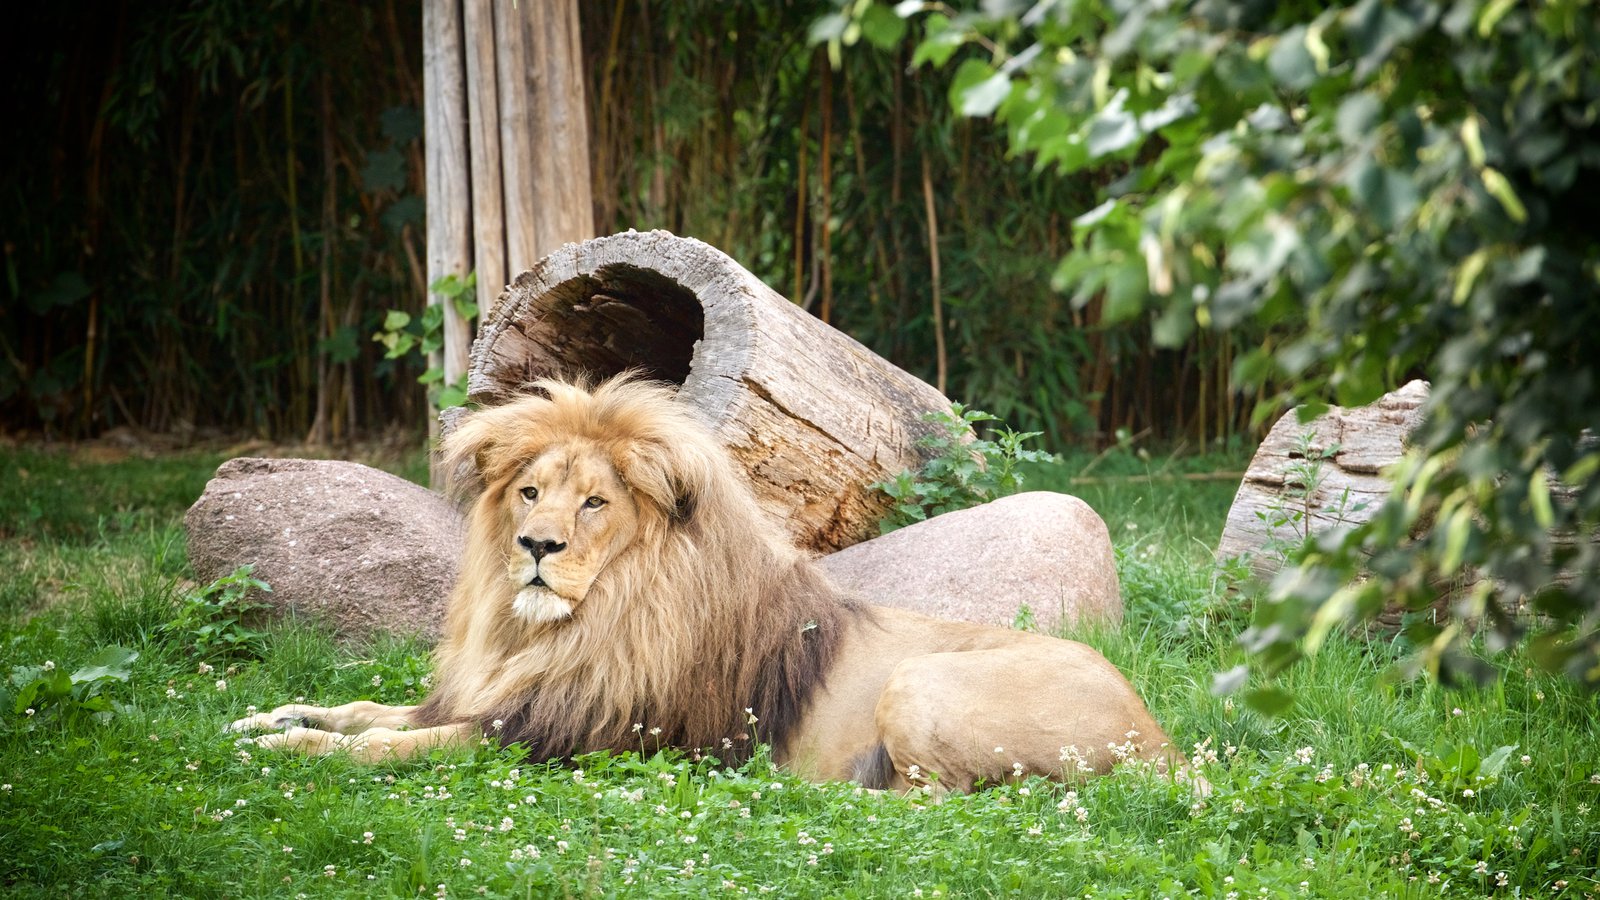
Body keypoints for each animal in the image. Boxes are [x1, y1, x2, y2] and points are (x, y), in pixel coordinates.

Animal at [236, 374, 1190, 787]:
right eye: (531, 492)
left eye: (596, 504)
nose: (537, 546)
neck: (559, 626)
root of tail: (1167, 744)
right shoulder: (499, 700)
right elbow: (369, 710)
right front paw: (270, 717)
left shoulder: (562, 735)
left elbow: (386, 746)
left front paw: (286, 749)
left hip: (922, 680)